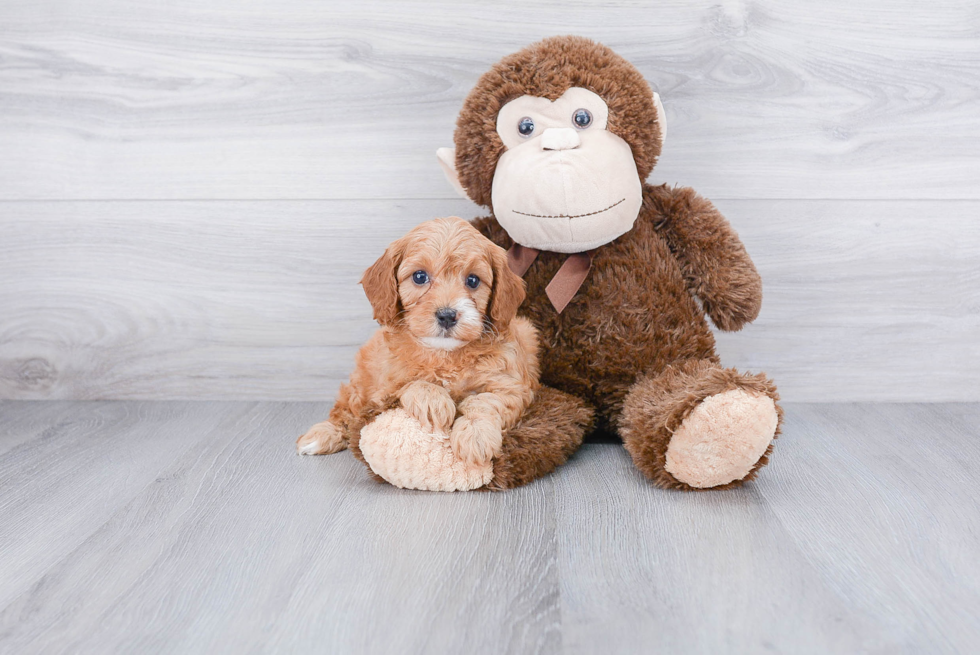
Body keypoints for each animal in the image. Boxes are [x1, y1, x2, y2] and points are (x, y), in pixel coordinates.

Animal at [298, 218, 544, 468]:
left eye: (473, 280)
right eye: (419, 277)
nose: (447, 315)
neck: (444, 355)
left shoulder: (512, 387)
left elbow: (484, 401)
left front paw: (475, 436)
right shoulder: (383, 387)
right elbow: (410, 383)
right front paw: (433, 401)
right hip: (361, 381)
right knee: (346, 408)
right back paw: (321, 435)